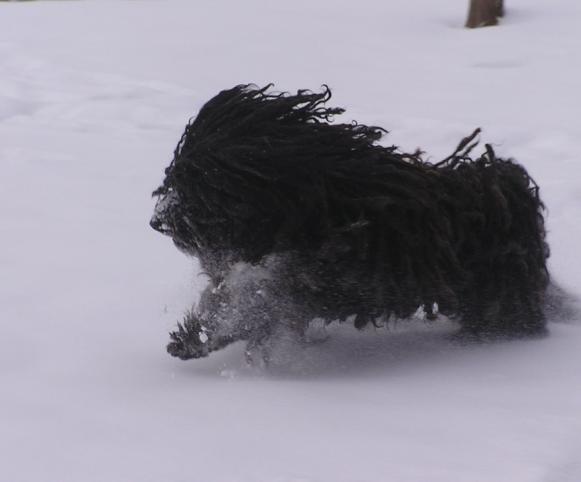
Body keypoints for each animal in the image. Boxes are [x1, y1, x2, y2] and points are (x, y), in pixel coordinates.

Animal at [150, 85, 548, 362]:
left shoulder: (329, 278)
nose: (156, 221)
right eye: (175, 173)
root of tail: (508, 186)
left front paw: (200, 335)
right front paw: (197, 334)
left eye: (198, 179)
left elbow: (260, 303)